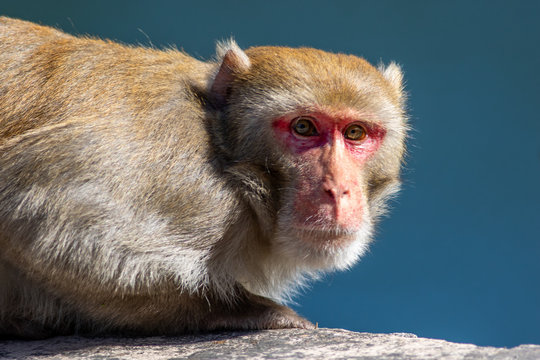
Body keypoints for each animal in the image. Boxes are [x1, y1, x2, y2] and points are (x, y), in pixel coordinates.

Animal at [0, 16, 404, 338]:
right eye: (304, 127)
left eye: (355, 133)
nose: (339, 190)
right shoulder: (188, 185)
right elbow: (28, 209)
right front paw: (240, 311)